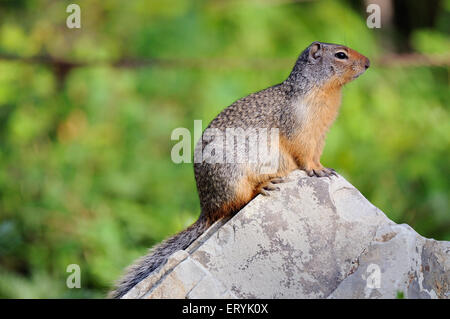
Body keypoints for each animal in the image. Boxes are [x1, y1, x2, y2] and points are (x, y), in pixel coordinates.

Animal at [109, 41, 370, 298]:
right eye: (341, 55)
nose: (368, 63)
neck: (320, 90)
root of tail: (206, 209)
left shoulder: (321, 136)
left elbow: (315, 154)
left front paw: (325, 167)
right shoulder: (300, 128)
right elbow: (304, 155)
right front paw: (318, 171)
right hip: (232, 179)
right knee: (237, 203)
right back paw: (264, 185)